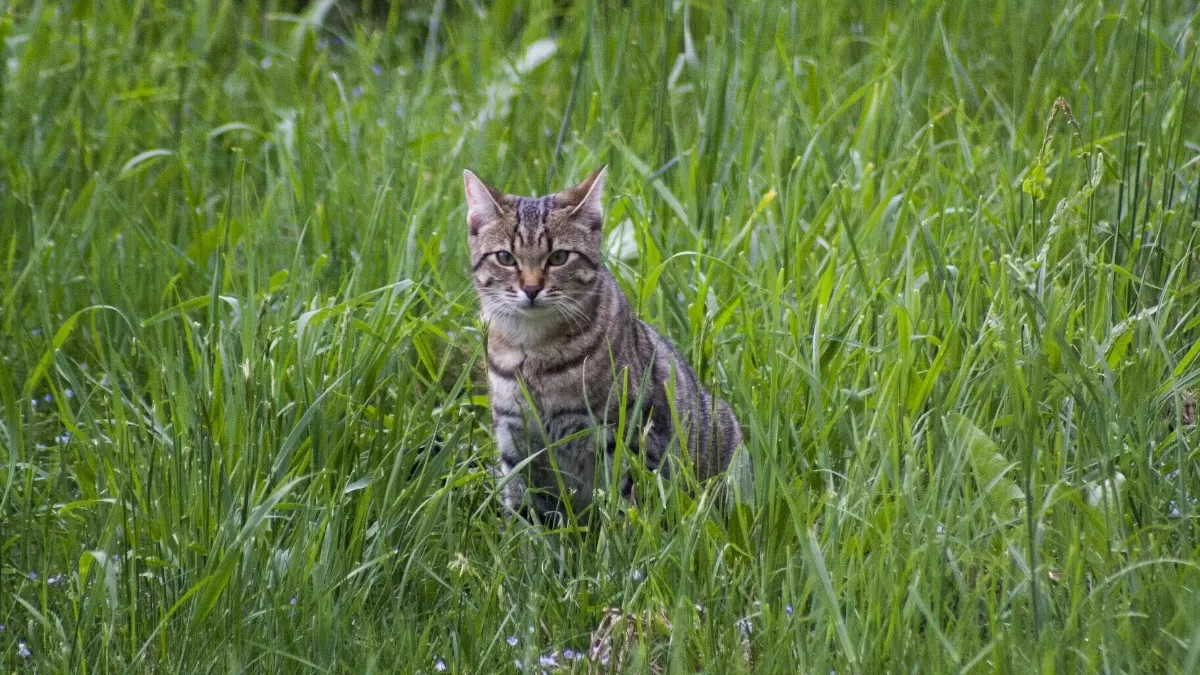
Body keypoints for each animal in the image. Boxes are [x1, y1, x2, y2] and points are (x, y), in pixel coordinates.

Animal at [465, 165, 739, 516]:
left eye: (558, 257)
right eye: (505, 257)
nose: (531, 288)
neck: (535, 348)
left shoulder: (626, 436)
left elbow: (628, 509)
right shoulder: (514, 438)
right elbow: (523, 511)